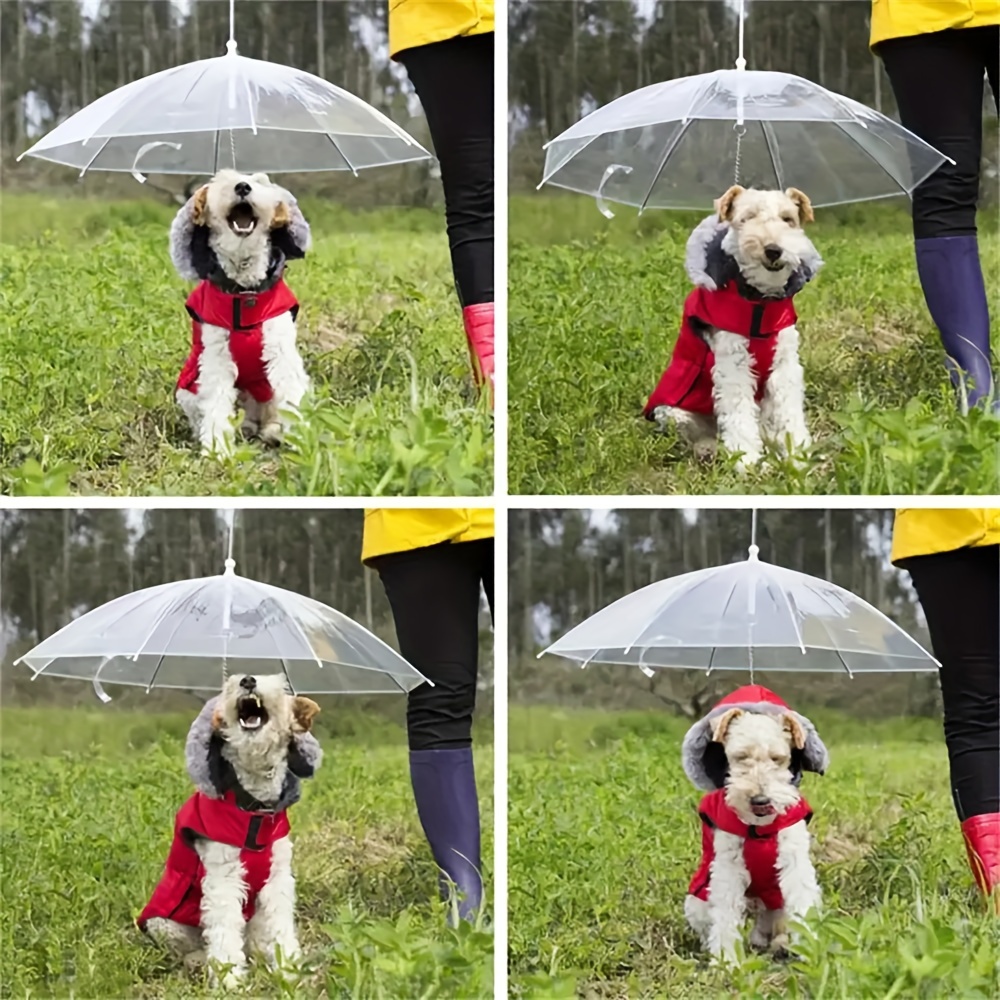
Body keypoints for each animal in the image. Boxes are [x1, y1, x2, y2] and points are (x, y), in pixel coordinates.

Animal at [138, 672, 320, 984]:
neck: (254, 808)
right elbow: (224, 932)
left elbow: (281, 928)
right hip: (163, 923)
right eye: (228, 685)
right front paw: (229, 980)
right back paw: (199, 962)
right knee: (197, 944)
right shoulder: (223, 878)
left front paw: (289, 971)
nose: (247, 680)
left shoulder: (278, 879)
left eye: (274, 681)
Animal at [167, 170, 312, 456]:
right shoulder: (216, 356)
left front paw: (302, 441)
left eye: (260, 180)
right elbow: (216, 403)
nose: (243, 187)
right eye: (222, 178)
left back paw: (272, 433)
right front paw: (217, 450)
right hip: (189, 389)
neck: (245, 290)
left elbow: (290, 392)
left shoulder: (280, 349)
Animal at [644, 186, 824, 470]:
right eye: (747, 217)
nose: (773, 250)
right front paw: (747, 461)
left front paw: (799, 456)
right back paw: (710, 450)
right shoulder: (734, 365)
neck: (759, 303)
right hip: (674, 413)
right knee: (699, 436)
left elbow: (790, 413)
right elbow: (739, 414)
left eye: (788, 219)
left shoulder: (785, 366)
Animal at [680, 688, 828, 960]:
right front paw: (727, 960)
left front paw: (811, 953)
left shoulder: (794, 857)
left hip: (775, 900)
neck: (759, 828)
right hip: (697, 900)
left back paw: (778, 944)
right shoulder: (728, 866)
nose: (760, 800)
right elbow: (725, 916)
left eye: (778, 758)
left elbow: (802, 901)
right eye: (740, 757)